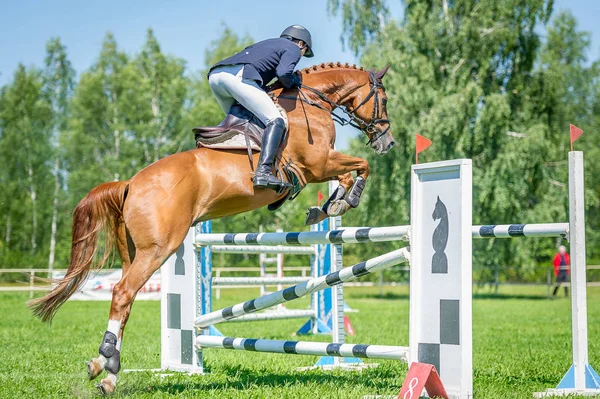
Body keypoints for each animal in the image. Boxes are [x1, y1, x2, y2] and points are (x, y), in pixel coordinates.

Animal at [28, 62, 396, 394]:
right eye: (384, 98)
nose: (387, 142)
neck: (310, 103)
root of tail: (130, 183)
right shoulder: (319, 164)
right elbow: (359, 167)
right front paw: (339, 203)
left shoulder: (320, 166)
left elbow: (351, 172)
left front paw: (326, 207)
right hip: (158, 249)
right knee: (122, 294)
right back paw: (106, 362)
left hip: (133, 252)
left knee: (127, 301)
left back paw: (105, 371)